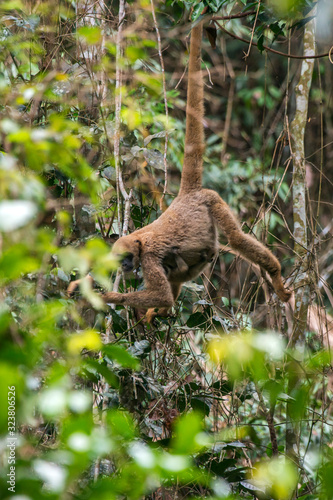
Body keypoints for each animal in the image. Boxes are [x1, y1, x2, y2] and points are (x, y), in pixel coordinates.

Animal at [68, 20, 290, 320]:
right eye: (119, 259)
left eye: (128, 258)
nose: (124, 267)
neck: (139, 241)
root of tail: (186, 195)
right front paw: (82, 286)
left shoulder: (149, 258)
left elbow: (159, 291)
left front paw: (107, 298)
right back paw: (157, 312)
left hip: (212, 200)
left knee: (236, 239)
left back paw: (275, 275)